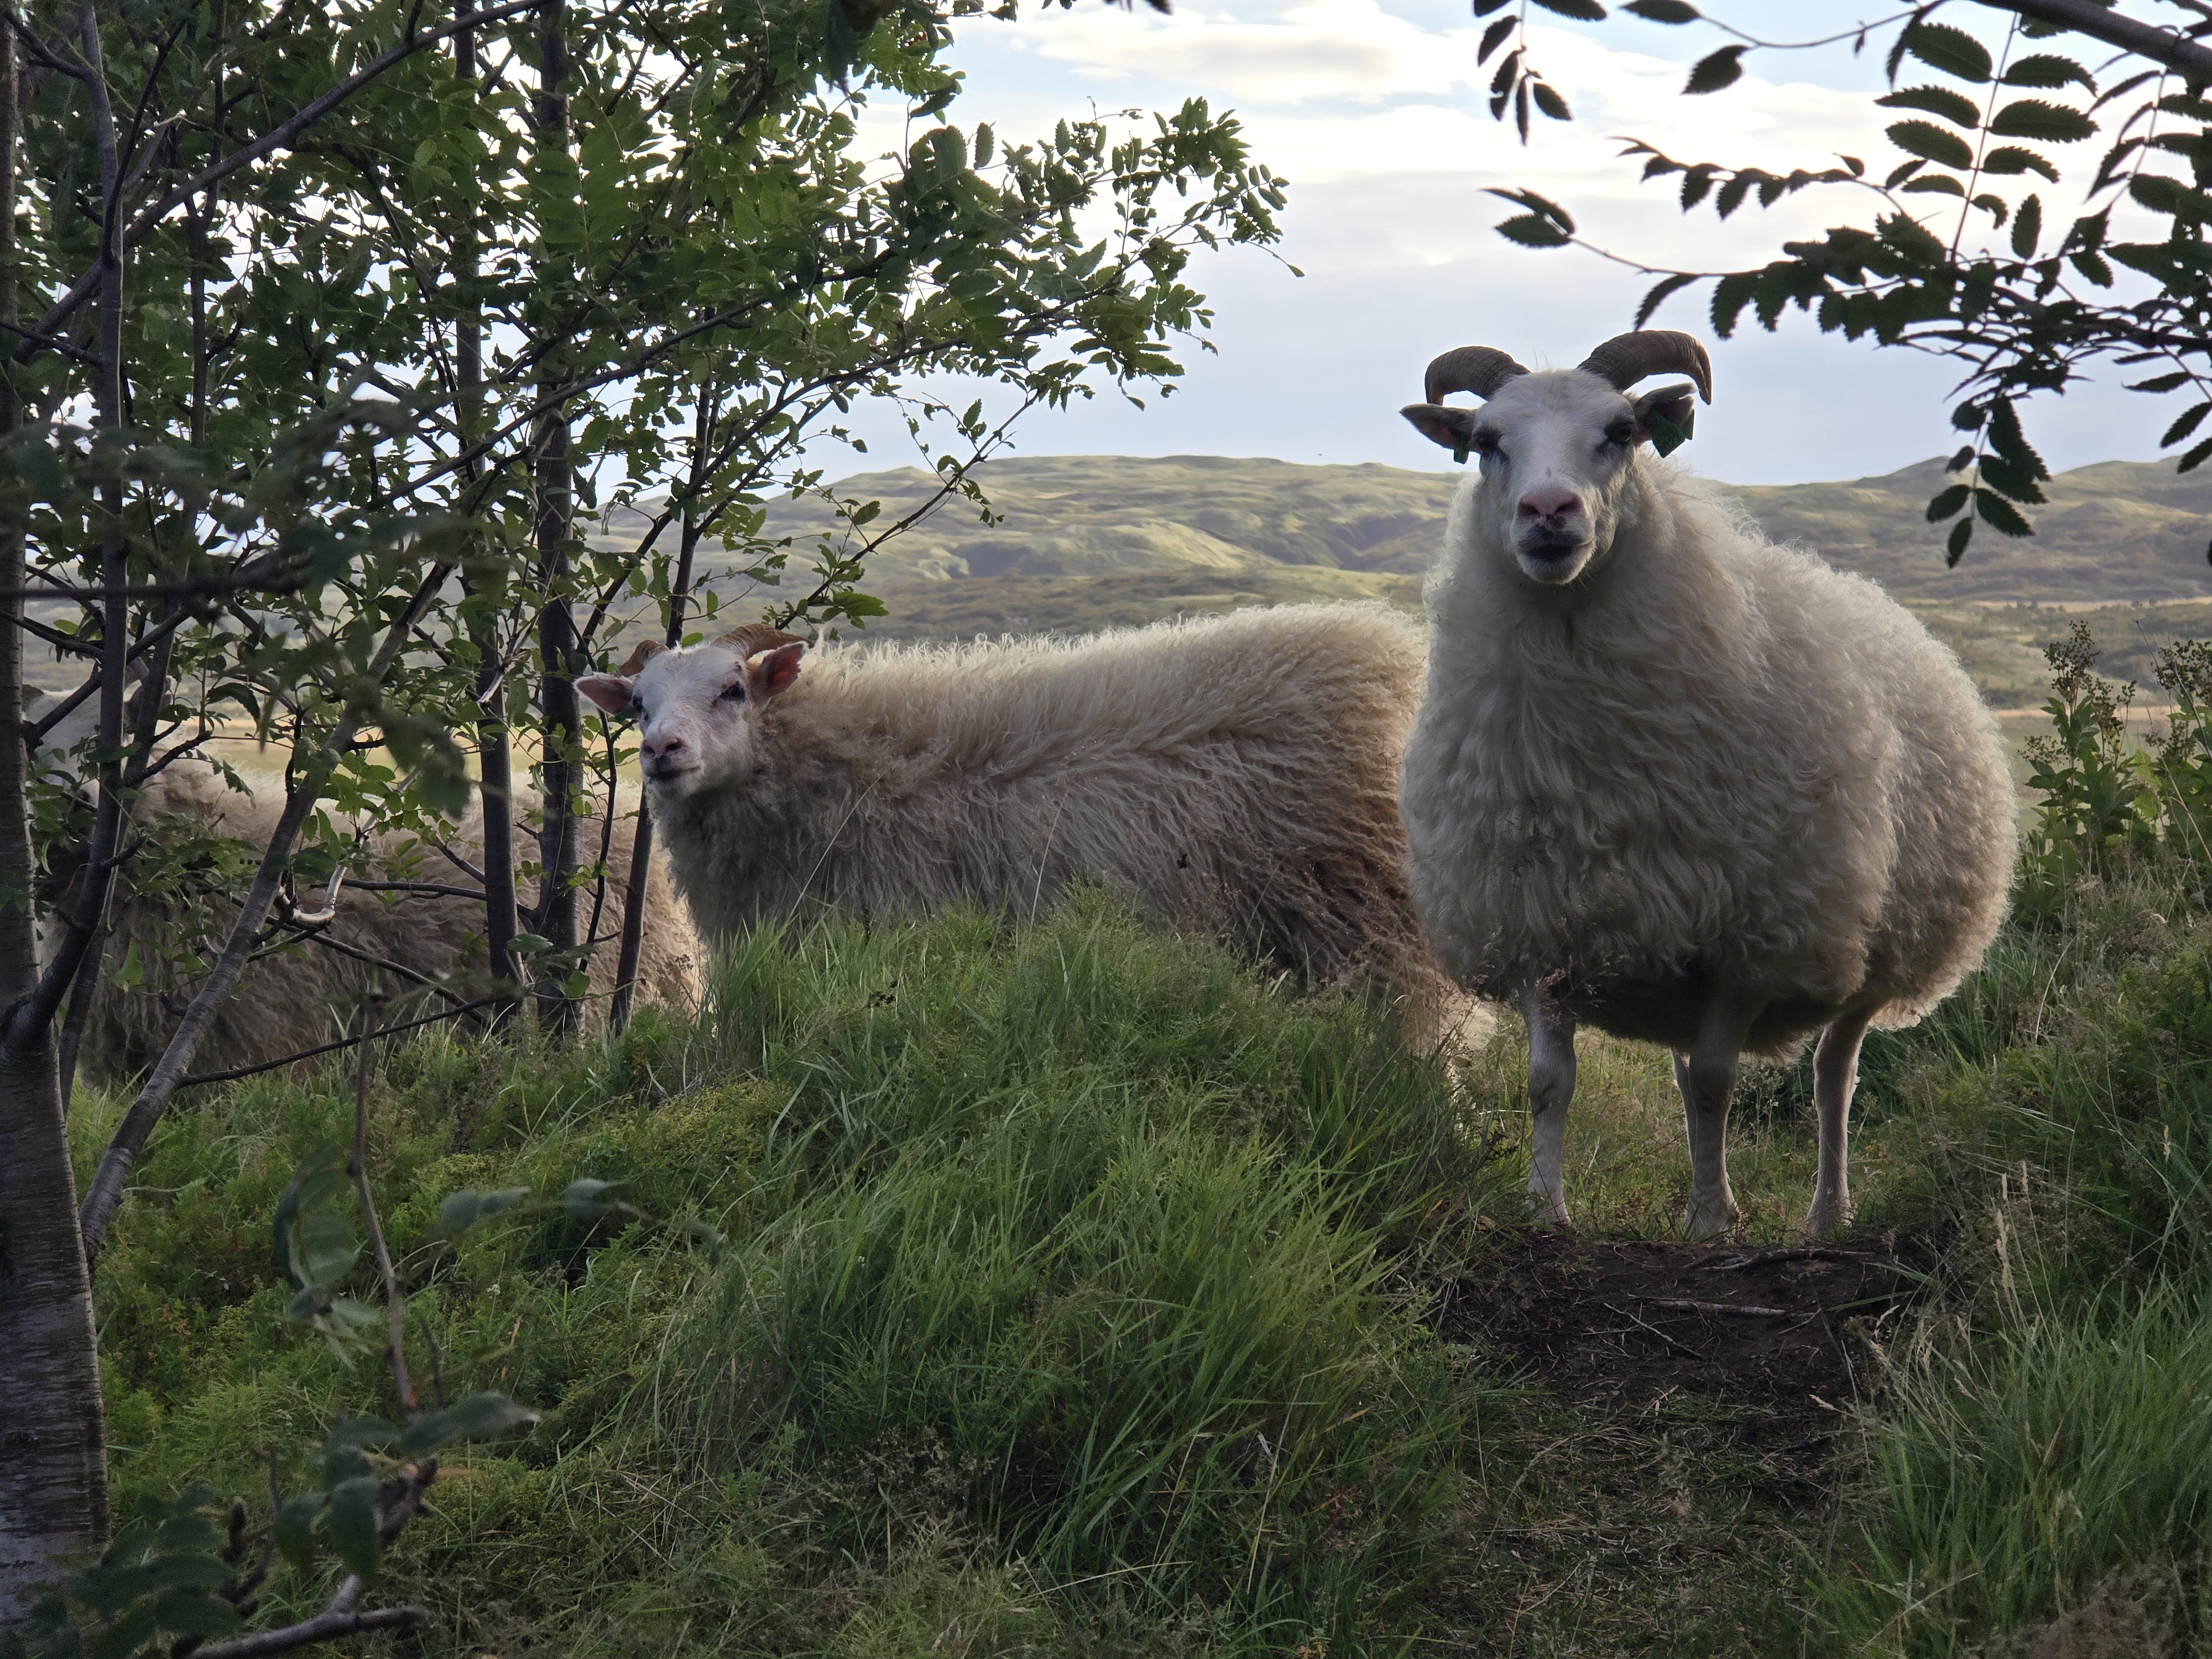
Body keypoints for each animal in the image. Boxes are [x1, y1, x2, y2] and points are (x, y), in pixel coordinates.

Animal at [1396, 329, 2016, 1239]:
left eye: (1621, 432)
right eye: (1486, 442)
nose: (1547, 513)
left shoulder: (1750, 942)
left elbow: (1724, 1085)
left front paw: (1713, 1219)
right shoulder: (1540, 921)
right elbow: (1550, 1085)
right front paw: (1546, 1209)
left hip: (1865, 946)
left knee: (1832, 1076)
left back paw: (1827, 1211)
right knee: (1692, 1077)